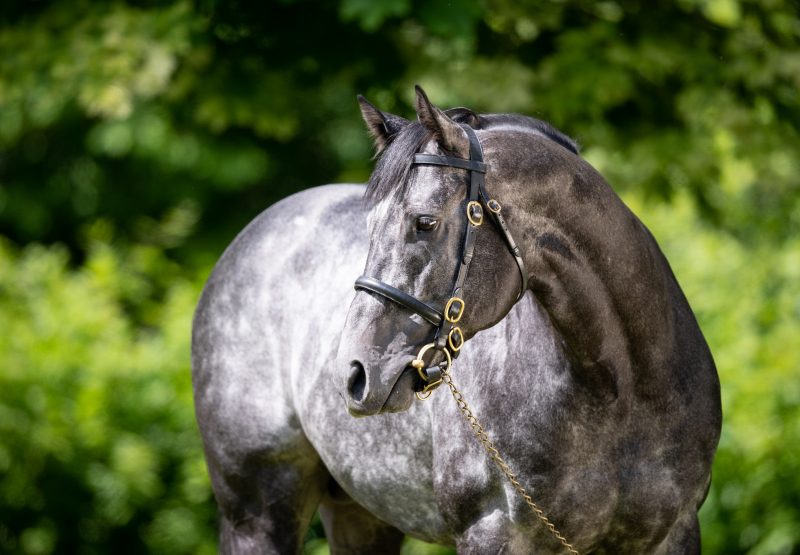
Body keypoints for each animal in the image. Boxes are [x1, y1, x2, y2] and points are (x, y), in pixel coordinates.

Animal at [191, 87, 720, 555]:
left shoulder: (675, 534)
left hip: (361, 515)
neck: (619, 393)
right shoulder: (492, 533)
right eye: (369, 227)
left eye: (424, 222)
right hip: (258, 515)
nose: (355, 373)